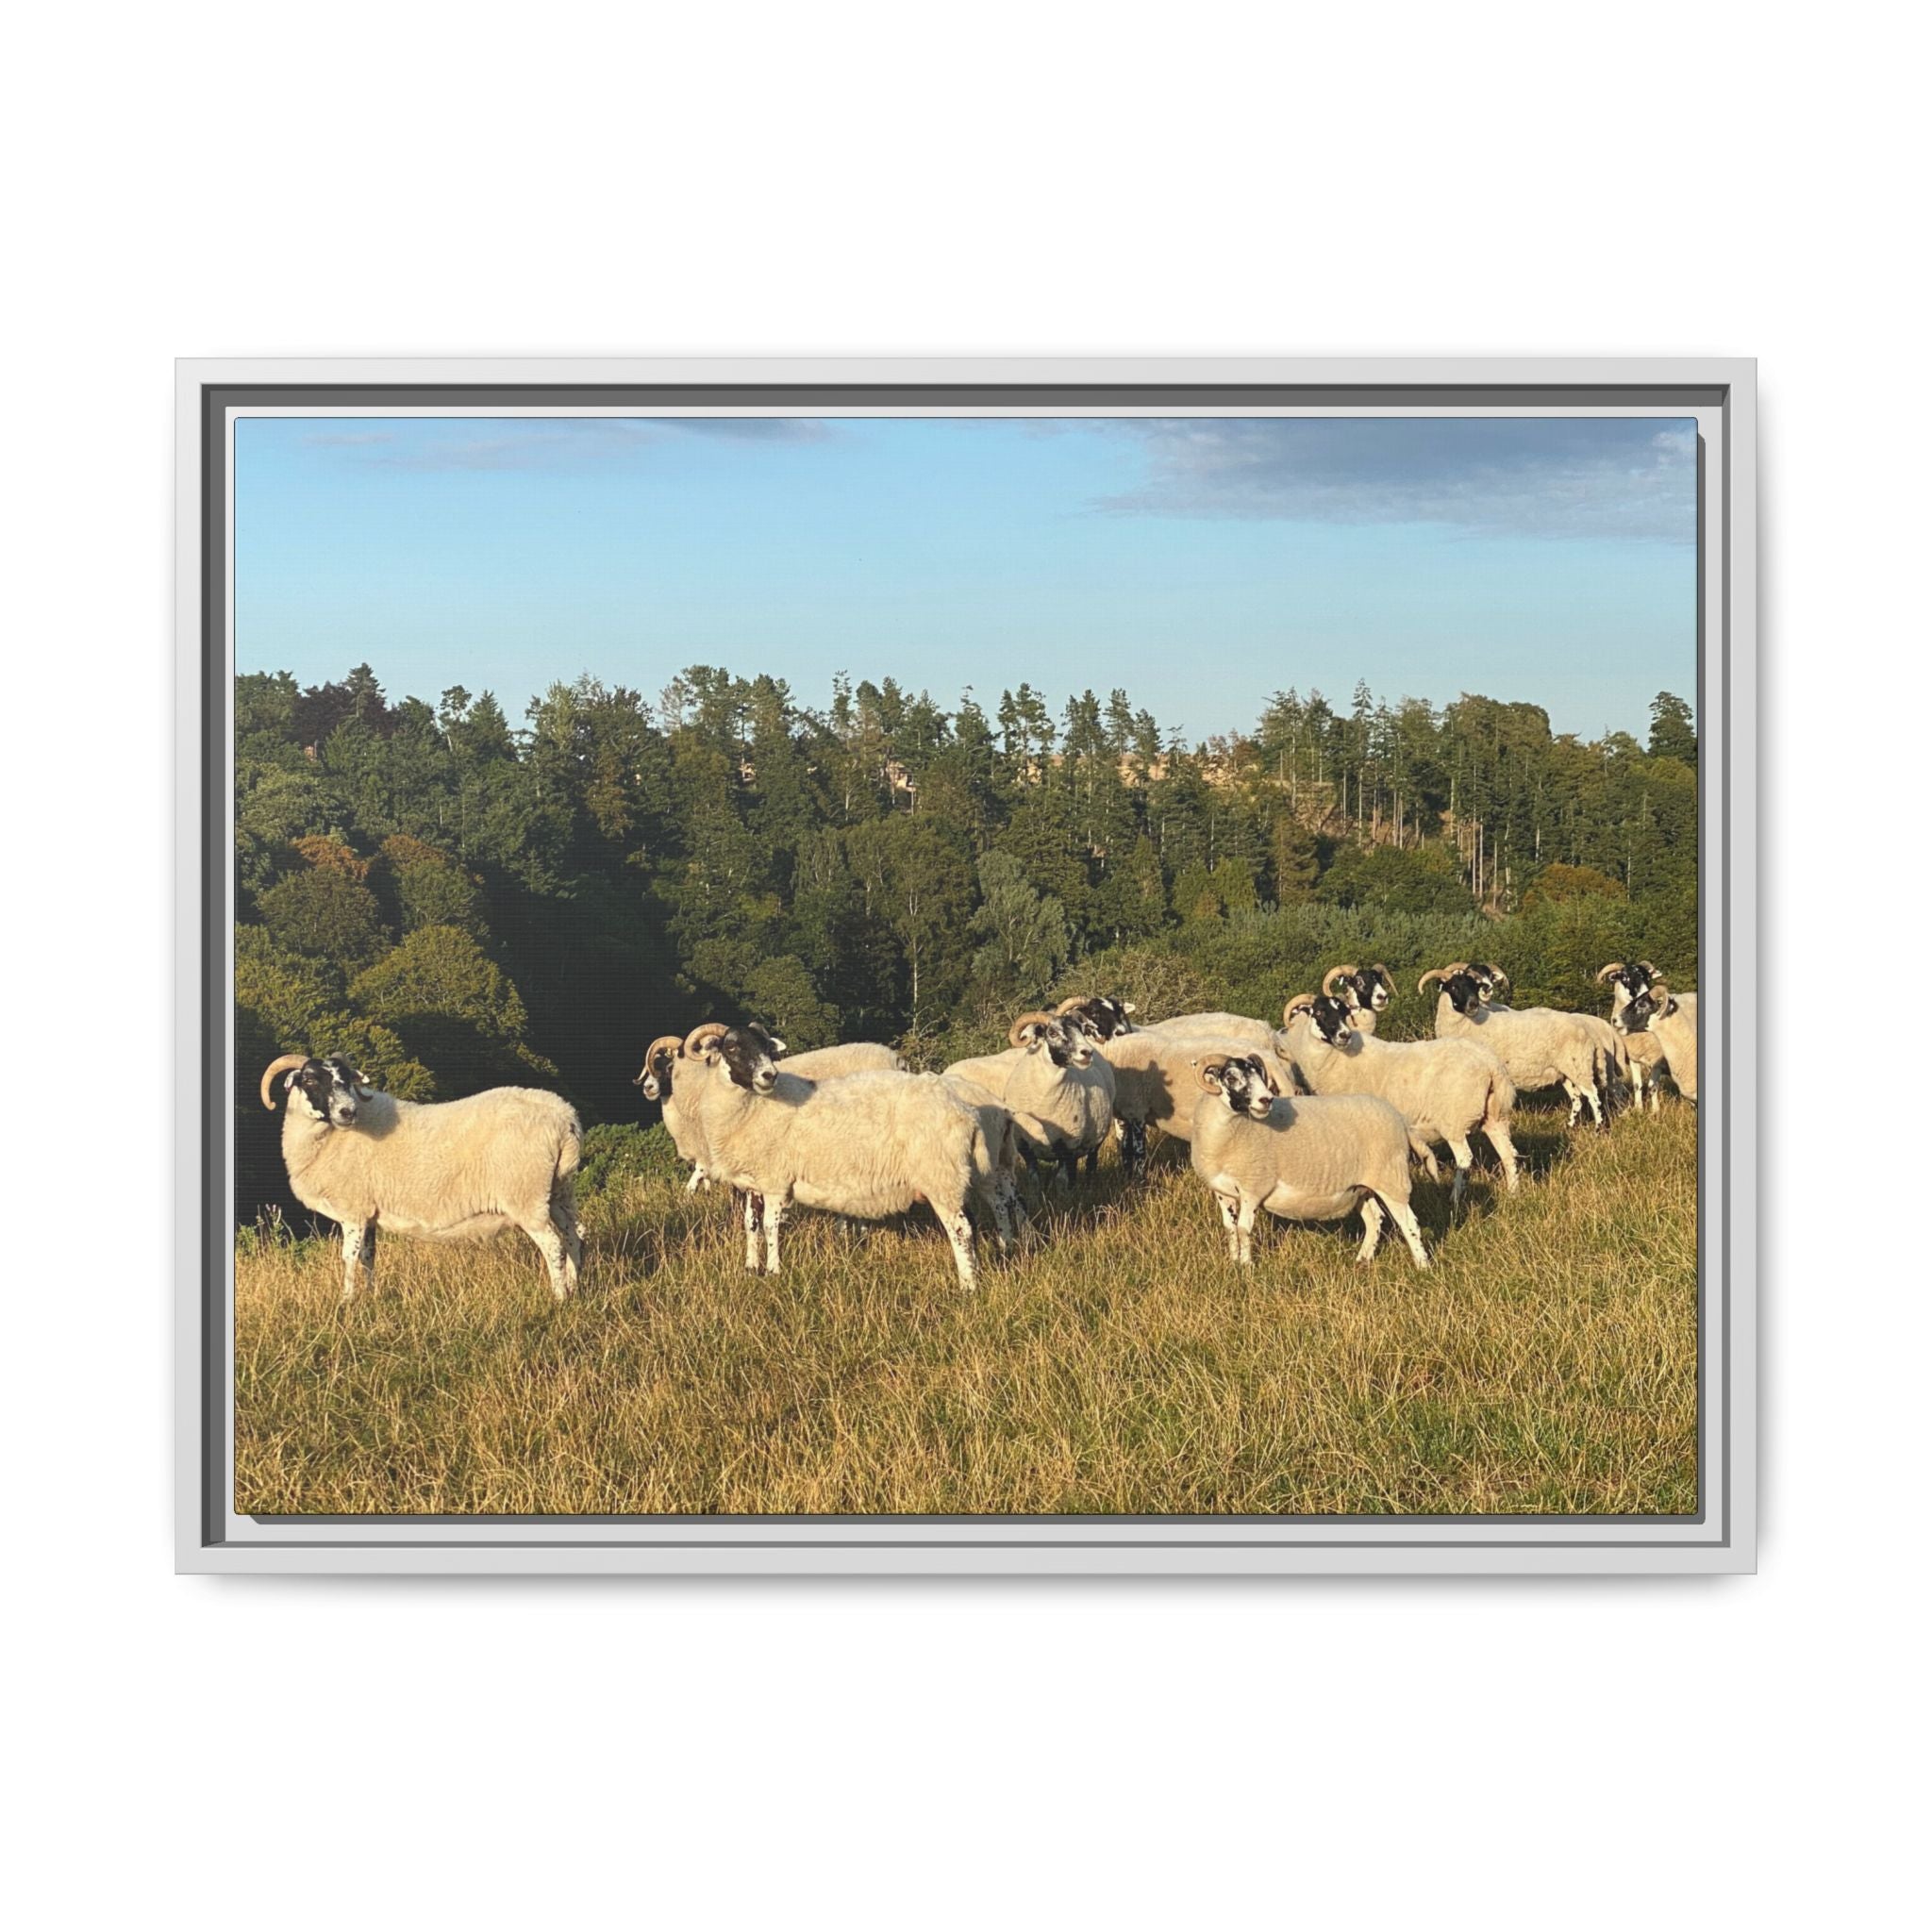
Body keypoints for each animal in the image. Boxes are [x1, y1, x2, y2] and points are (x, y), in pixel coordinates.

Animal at [258, 1053, 583, 1302]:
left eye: (346, 1081)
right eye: (310, 1080)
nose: (347, 1111)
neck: (329, 1139)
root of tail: (565, 1117)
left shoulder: (353, 1210)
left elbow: (349, 1257)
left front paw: (347, 1301)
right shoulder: (369, 1212)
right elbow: (368, 1257)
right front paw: (371, 1298)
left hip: (526, 1195)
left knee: (553, 1245)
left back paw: (559, 1298)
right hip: (558, 1191)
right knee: (575, 1236)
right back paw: (575, 1288)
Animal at [681, 1024, 997, 1286]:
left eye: (768, 1049)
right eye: (732, 1047)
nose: (769, 1075)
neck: (753, 1108)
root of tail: (966, 1113)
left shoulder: (775, 1180)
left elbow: (770, 1227)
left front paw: (773, 1271)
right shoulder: (753, 1183)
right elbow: (751, 1225)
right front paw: (750, 1267)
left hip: (941, 1177)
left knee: (960, 1230)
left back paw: (967, 1286)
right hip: (953, 1179)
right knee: (970, 1225)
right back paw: (975, 1272)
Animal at [1189, 1050, 1429, 1269]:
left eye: (1259, 1074)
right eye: (1231, 1077)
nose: (1266, 1100)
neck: (1234, 1130)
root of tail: (1400, 1120)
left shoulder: (1253, 1187)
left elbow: (1243, 1229)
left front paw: (1247, 1267)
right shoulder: (1223, 1192)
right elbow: (1230, 1228)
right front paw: (1233, 1263)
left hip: (1391, 1179)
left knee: (1410, 1224)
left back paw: (1422, 1266)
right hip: (1362, 1186)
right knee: (1375, 1219)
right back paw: (1362, 1261)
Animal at [1277, 994, 1519, 1208]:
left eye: (1344, 1012)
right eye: (1319, 1012)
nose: (1344, 1035)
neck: (1336, 1058)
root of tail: (1491, 1064)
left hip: (1455, 1120)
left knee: (1464, 1159)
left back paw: (1456, 1200)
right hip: (1495, 1115)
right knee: (1509, 1154)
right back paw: (1512, 1193)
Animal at [1418, 962, 1611, 1128]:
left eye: (1474, 987)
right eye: (1454, 987)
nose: (1473, 1004)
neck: (1468, 1023)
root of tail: (1588, 1030)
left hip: (1580, 1066)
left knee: (1593, 1095)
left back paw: (1599, 1128)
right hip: (1566, 1071)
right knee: (1577, 1097)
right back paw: (1570, 1125)